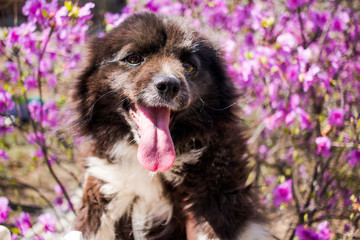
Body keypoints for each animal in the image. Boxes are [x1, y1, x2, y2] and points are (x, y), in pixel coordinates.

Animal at [70, 11, 268, 240]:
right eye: (134, 59)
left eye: (189, 67)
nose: (169, 85)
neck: (150, 168)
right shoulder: (105, 185)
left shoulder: (220, 193)